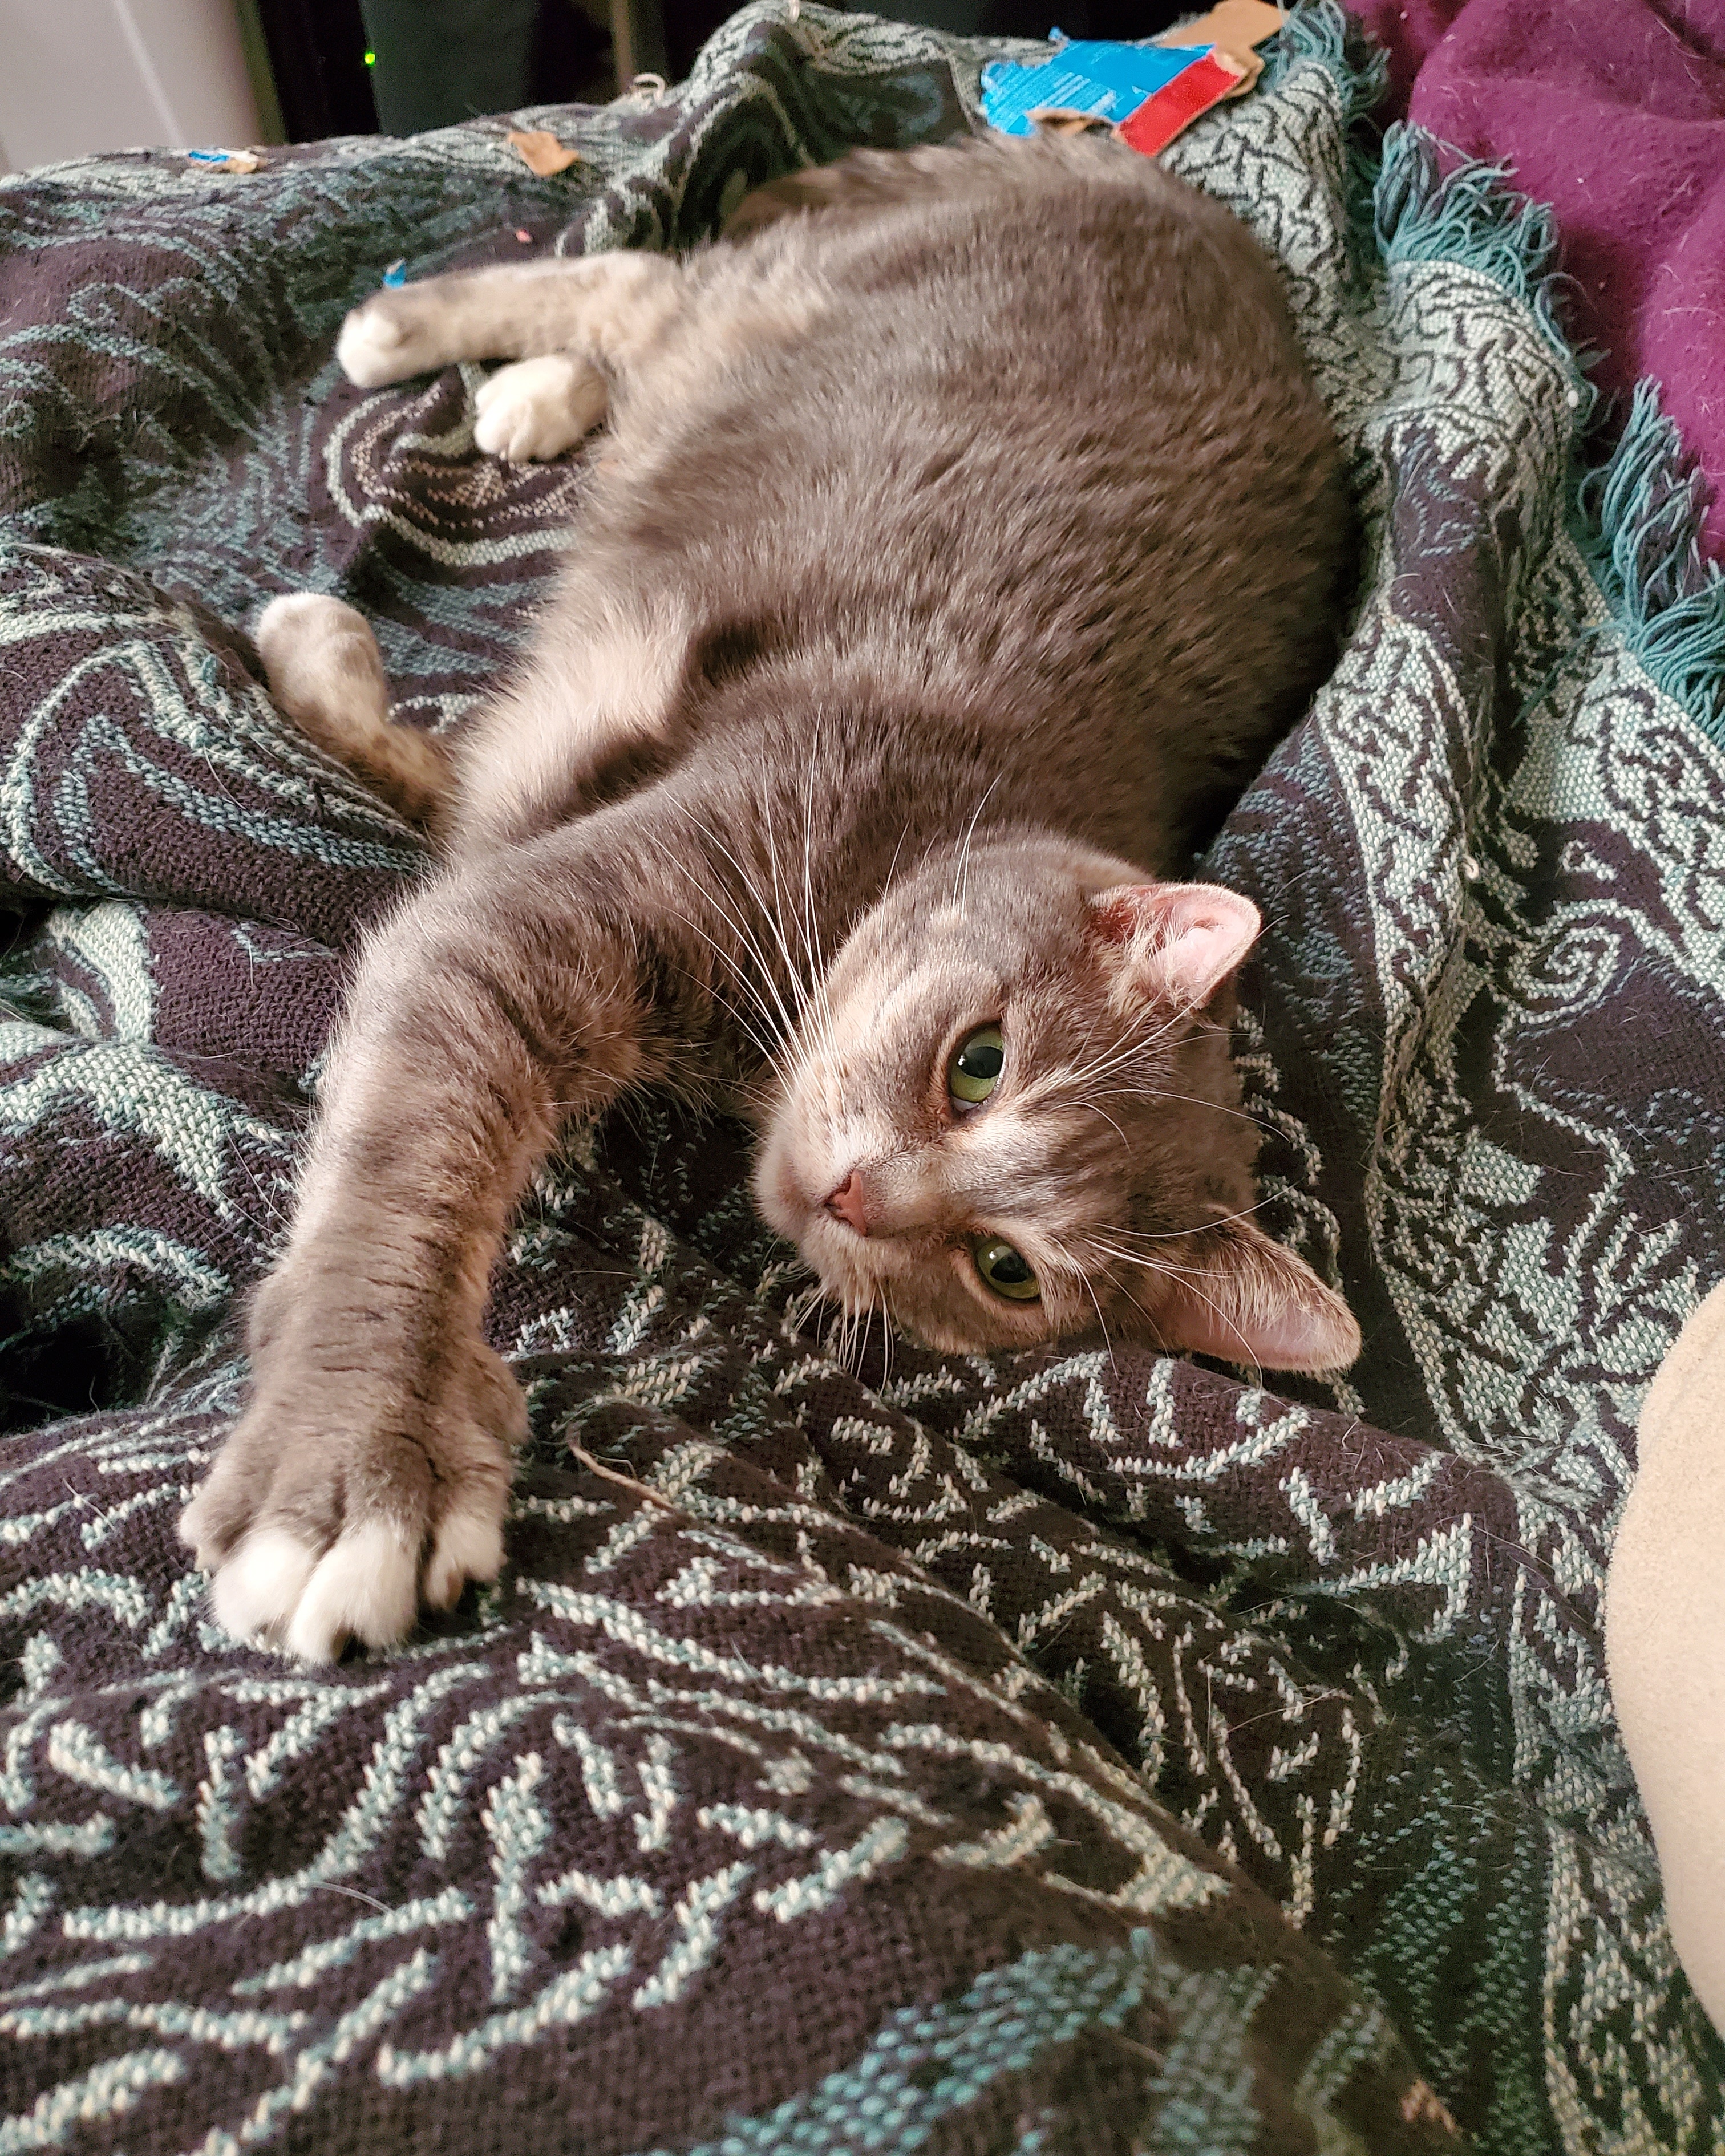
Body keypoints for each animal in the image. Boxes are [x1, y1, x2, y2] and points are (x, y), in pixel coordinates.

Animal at [179, 130, 1362, 1664]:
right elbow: (409, 1171)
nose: (862, 1198)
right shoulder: (542, 908)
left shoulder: (519, 817)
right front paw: (360, 1468)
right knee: (646, 273)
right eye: (979, 1063)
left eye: (1006, 1272)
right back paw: (441, 343)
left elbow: (438, 782)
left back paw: (530, 395)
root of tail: (1168, 195)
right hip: (788, 299)